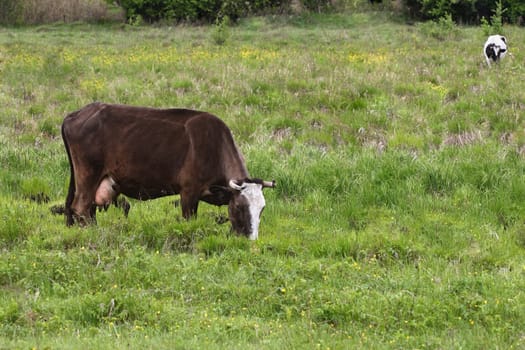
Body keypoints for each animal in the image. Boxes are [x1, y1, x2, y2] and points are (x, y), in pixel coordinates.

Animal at [61, 102, 274, 241]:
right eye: (239, 206)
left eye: (262, 209)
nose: (251, 240)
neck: (213, 146)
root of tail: (78, 113)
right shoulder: (188, 192)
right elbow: (189, 222)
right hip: (88, 174)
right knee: (81, 207)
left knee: (86, 208)